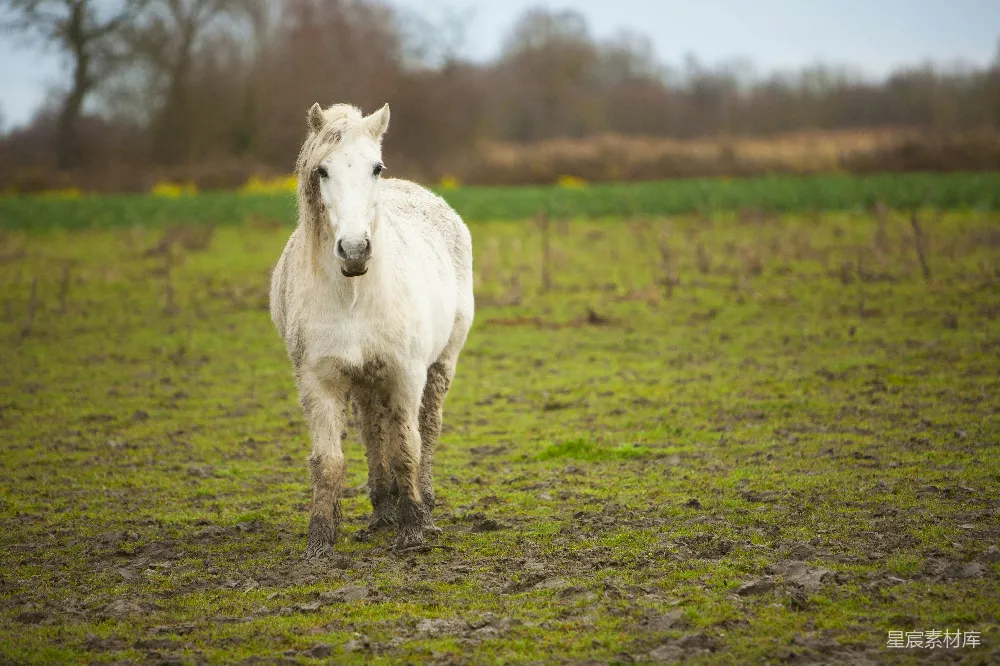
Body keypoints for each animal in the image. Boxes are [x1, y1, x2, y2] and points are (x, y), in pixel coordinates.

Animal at [269, 102, 474, 554]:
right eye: (322, 171)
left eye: (375, 168)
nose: (355, 250)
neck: (354, 294)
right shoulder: (319, 382)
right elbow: (329, 461)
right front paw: (321, 539)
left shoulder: (405, 374)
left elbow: (407, 450)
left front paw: (413, 530)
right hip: (364, 381)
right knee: (373, 430)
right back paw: (382, 510)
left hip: (441, 364)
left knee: (427, 429)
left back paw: (423, 506)